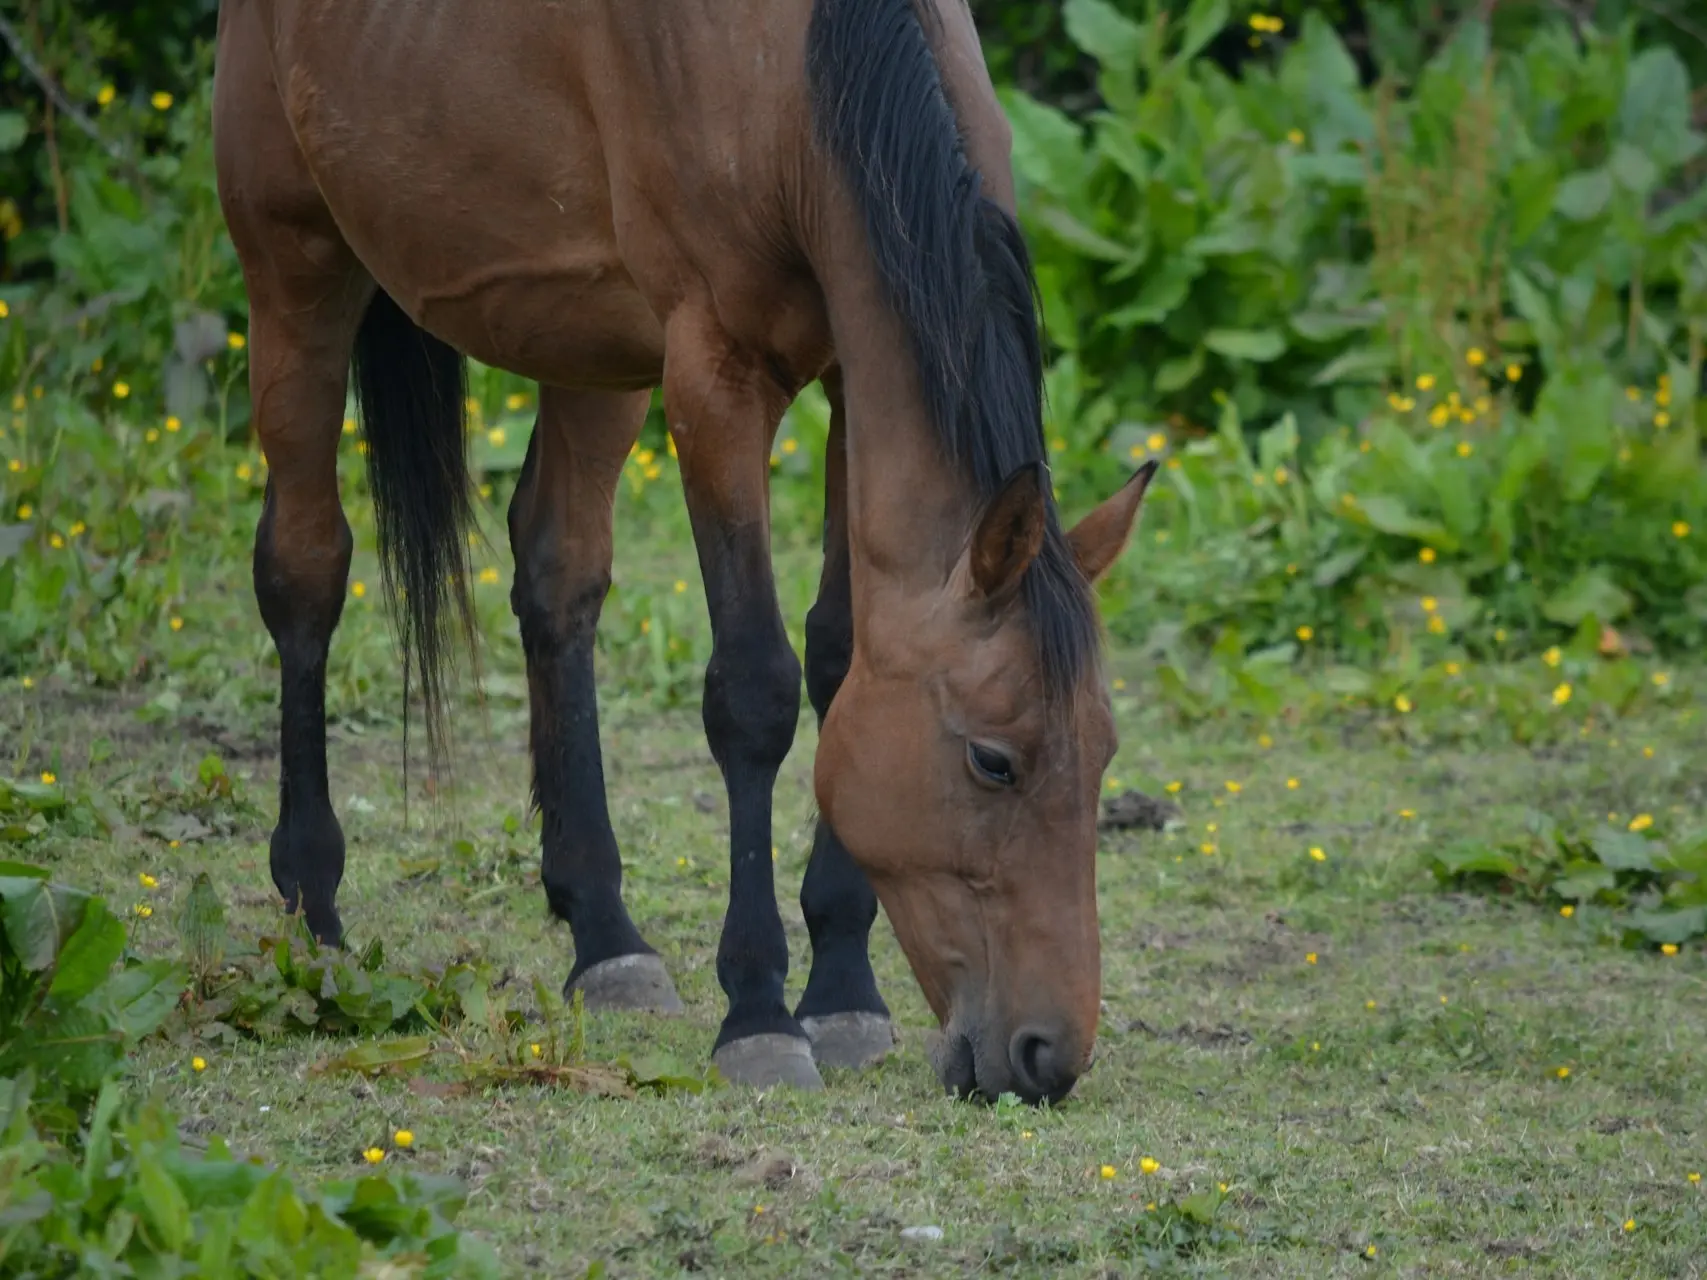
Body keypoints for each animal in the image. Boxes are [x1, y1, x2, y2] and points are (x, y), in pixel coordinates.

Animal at [209, 0, 1147, 1105]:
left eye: (1104, 753)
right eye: (994, 761)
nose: (1048, 1056)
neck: (800, 79)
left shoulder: (846, 370)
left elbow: (839, 655)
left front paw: (841, 988)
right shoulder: (714, 380)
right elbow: (754, 692)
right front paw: (759, 1012)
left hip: (589, 343)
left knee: (558, 575)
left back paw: (606, 936)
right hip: (295, 263)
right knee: (304, 570)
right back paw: (313, 913)